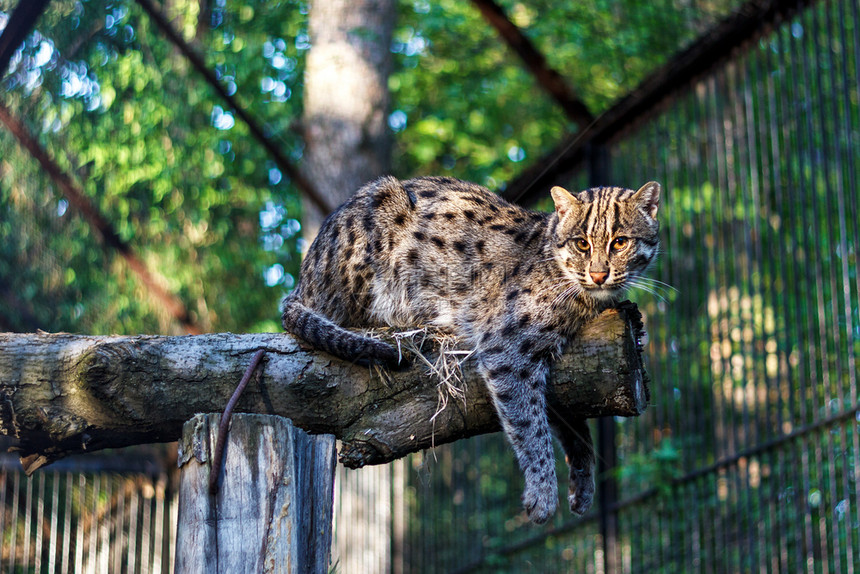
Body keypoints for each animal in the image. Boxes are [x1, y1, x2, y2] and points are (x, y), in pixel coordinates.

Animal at [282, 177, 660, 528]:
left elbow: (570, 418)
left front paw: (581, 481)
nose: (598, 275)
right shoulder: (506, 349)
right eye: (582, 243)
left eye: (620, 242)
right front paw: (542, 494)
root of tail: (301, 280)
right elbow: (529, 424)